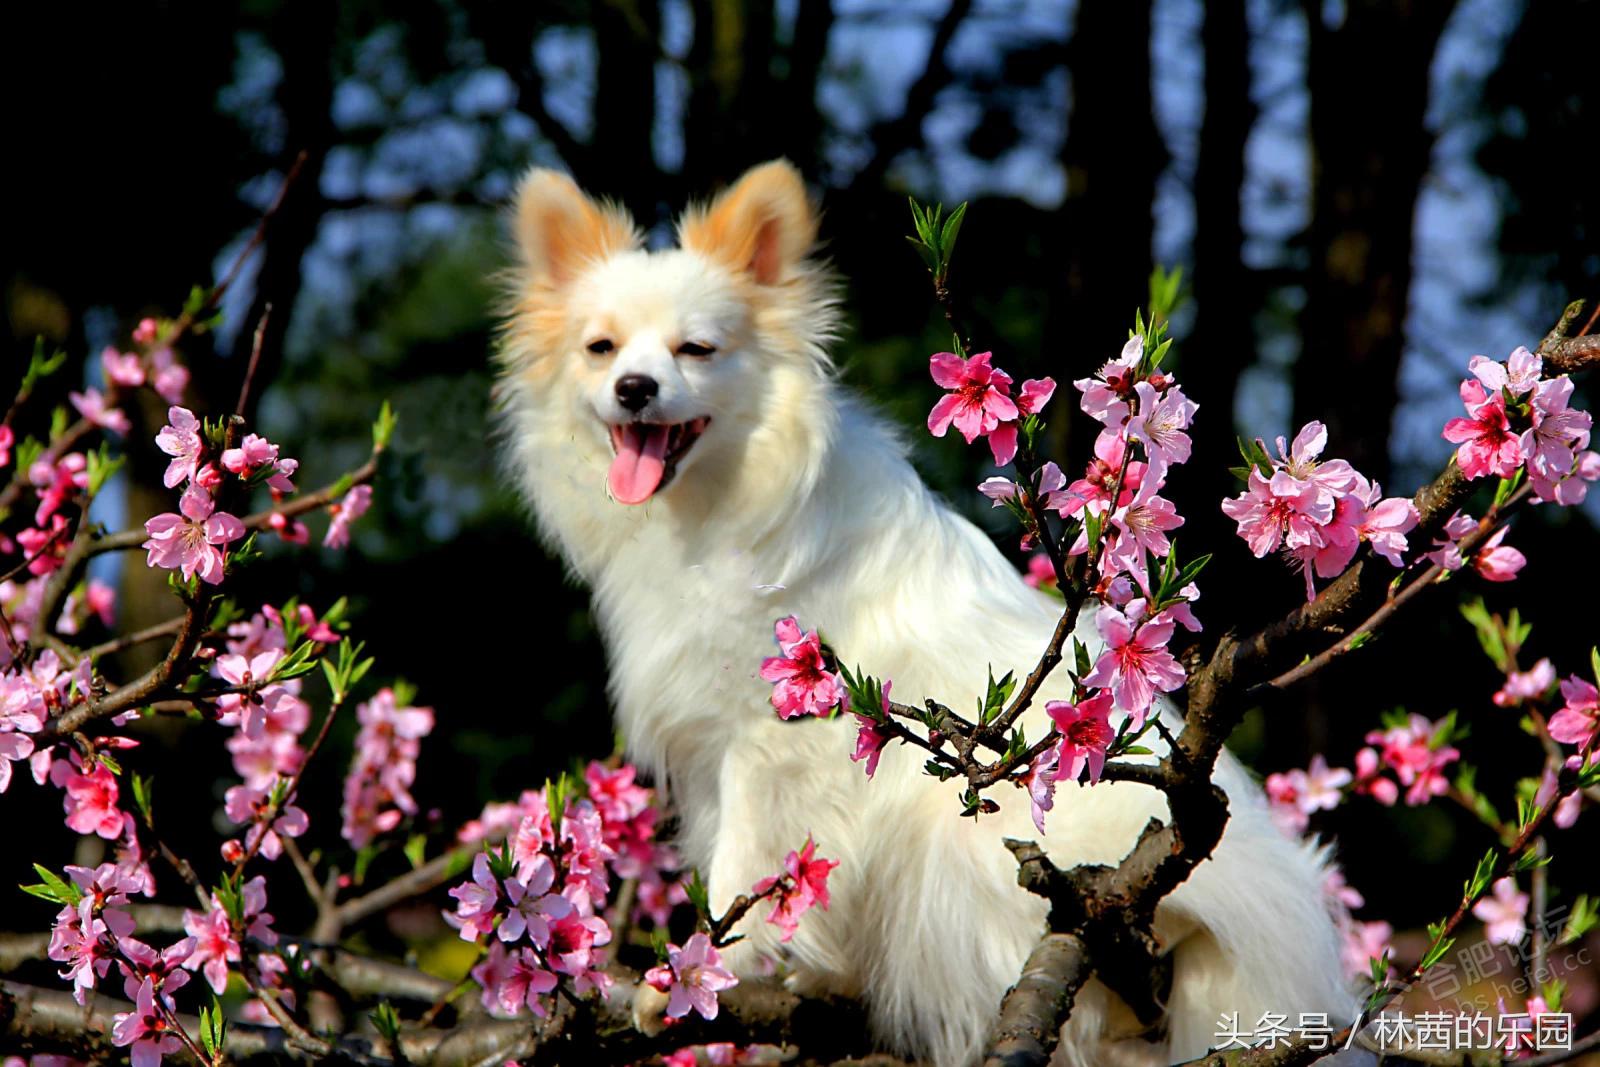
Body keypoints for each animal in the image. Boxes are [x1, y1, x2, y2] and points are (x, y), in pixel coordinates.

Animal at [492, 160, 1356, 1067]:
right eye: (601, 350)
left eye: (697, 350)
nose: (634, 388)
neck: (706, 508)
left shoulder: (772, 742)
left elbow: (747, 863)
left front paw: (708, 965)